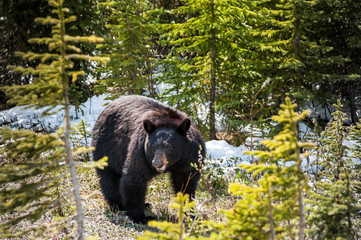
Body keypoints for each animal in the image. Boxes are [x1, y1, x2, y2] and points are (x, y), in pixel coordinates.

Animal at [91, 95, 205, 223]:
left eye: (168, 147)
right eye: (154, 146)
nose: (156, 163)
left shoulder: (190, 157)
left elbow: (186, 182)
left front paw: (189, 211)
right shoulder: (141, 151)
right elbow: (135, 178)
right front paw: (141, 217)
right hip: (107, 148)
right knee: (109, 178)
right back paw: (118, 205)